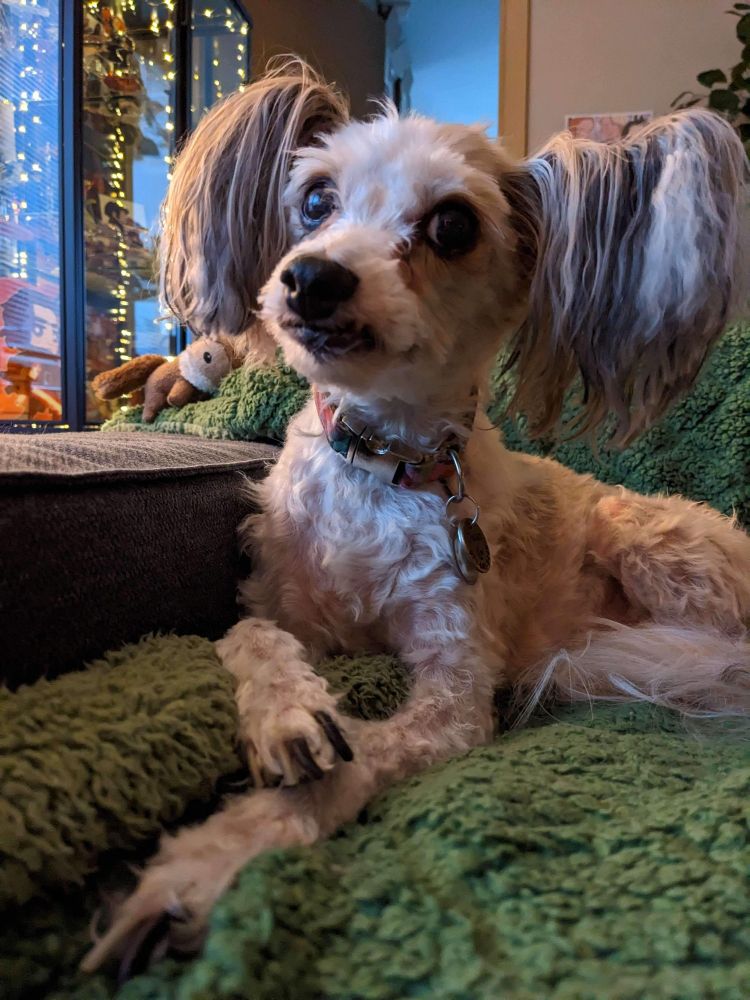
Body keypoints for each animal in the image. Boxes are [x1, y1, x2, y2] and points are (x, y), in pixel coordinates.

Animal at [84, 58, 750, 974]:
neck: (379, 465)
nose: (311, 278)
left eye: (453, 224)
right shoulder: (278, 604)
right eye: (316, 201)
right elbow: (252, 638)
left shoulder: (456, 688)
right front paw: (289, 716)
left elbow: (361, 754)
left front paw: (201, 866)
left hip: (647, 537)